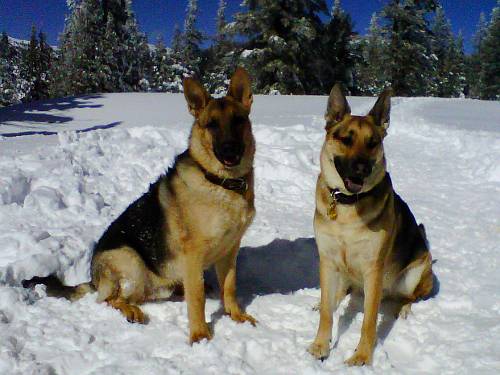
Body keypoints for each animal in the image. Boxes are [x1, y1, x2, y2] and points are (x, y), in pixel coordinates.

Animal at [23, 69, 256, 346]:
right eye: (212, 125)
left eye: (238, 121)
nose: (230, 151)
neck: (222, 183)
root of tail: (92, 278)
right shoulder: (193, 254)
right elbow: (197, 298)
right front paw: (199, 334)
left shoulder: (230, 250)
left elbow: (229, 287)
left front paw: (236, 315)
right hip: (130, 261)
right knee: (109, 299)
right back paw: (130, 310)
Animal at [306, 85, 432, 368]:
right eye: (346, 139)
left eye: (373, 143)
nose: (362, 168)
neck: (346, 205)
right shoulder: (327, 259)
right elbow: (327, 313)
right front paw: (321, 345)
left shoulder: (373, 268)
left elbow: (369, 321)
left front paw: (362, 356)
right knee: (337, 294)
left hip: (416, 271)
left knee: (410, 296)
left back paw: (403, 309)